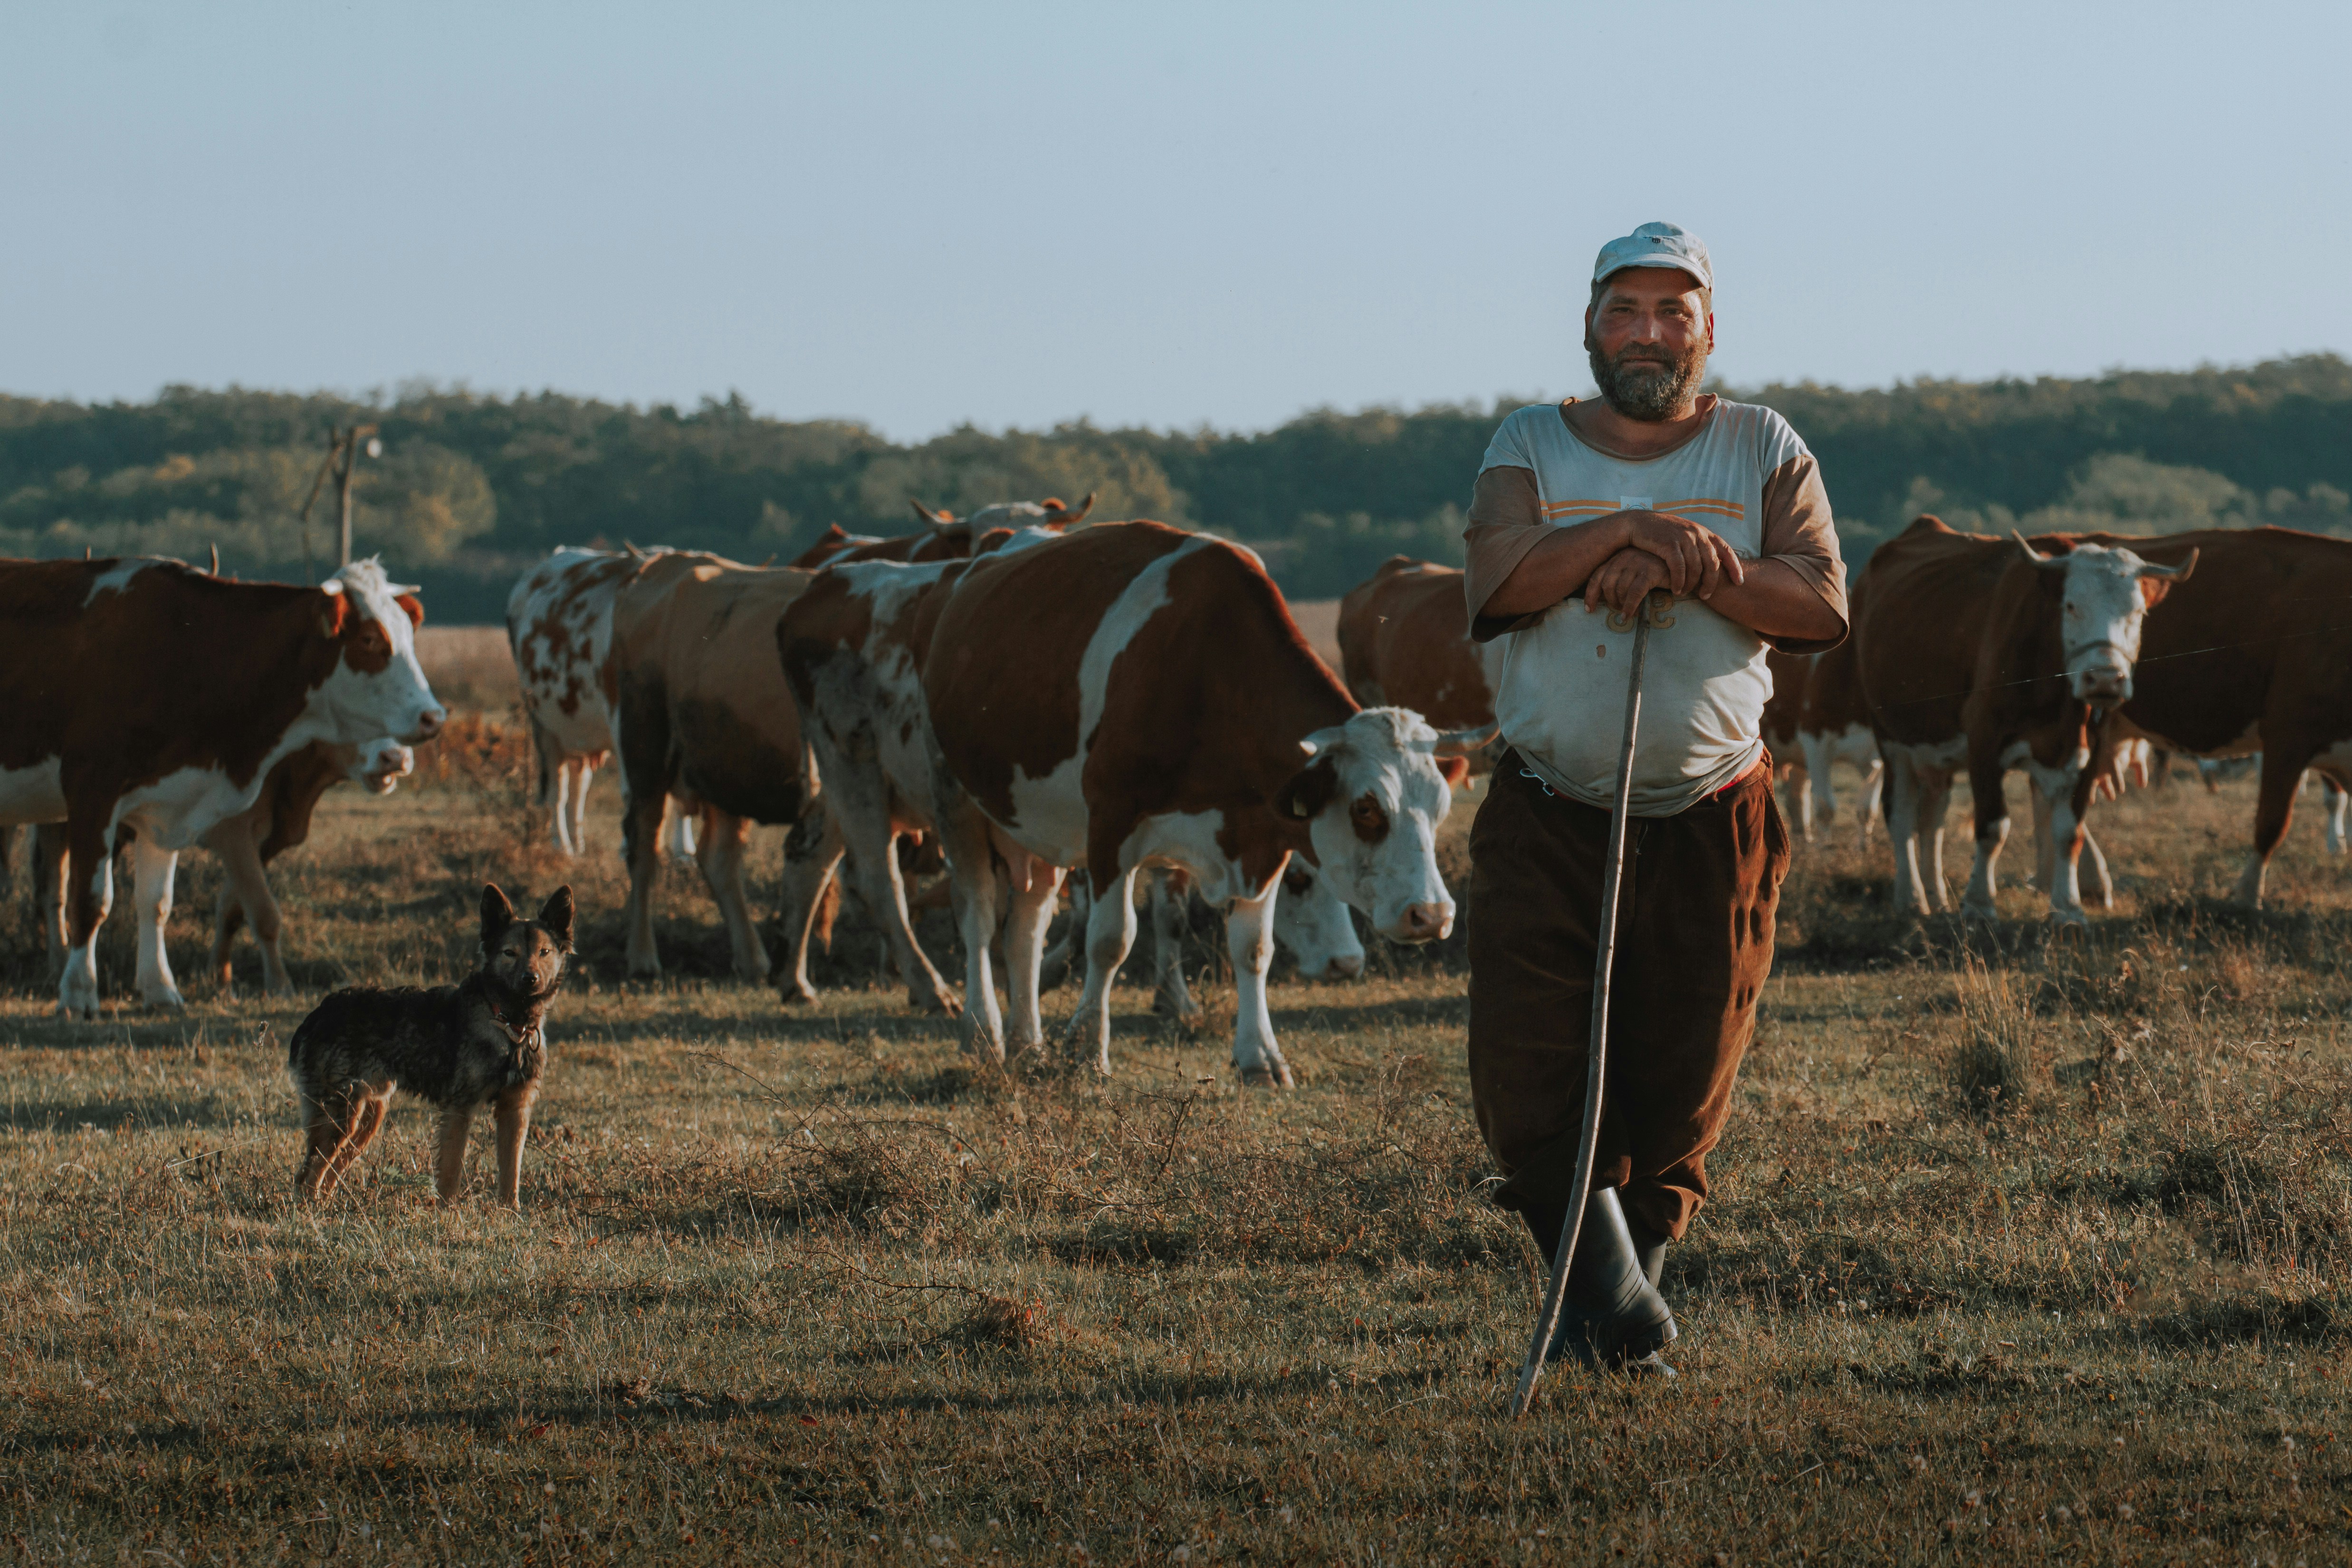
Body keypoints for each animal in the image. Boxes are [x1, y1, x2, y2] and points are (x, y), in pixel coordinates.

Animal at [0, 556, 445, 1016]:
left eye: (409, 635)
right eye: (370, 639)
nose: (433, 717)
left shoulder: (166, 804)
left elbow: (156, 903)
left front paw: (161, 990)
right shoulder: (92, 790)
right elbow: (90, 902)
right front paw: (78, 993)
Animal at [921, 521, 1475, 1084]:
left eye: (1440, 810)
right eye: (1367, 809)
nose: (1432, 915)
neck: (1209, 672)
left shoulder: (1262, 838)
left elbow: (1254, 949)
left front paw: (1260, 1057)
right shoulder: (1110, 823)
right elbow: (1111, 939)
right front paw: (1087, 1051)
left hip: (1036, 827)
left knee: (1027, 927)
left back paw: (1027, 1041)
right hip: (954, 798)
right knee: (977, 915)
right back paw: (983, 1033)